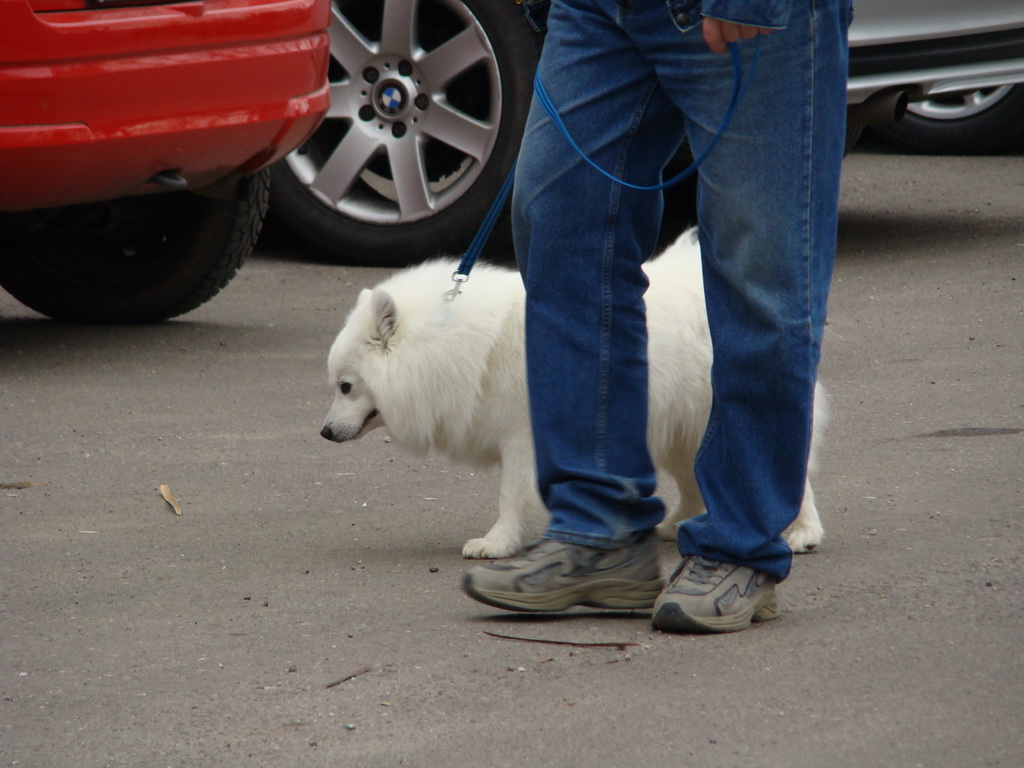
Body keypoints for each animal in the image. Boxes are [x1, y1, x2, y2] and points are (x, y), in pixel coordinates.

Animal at [319, 228, 823, 561]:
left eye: (346, 386)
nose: (323, 432)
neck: (460, 342)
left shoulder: (523, 439)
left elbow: (511, 497)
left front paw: (497, 544)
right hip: (677, 424)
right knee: (690, 478)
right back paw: (676, 523)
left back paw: (801, 532)